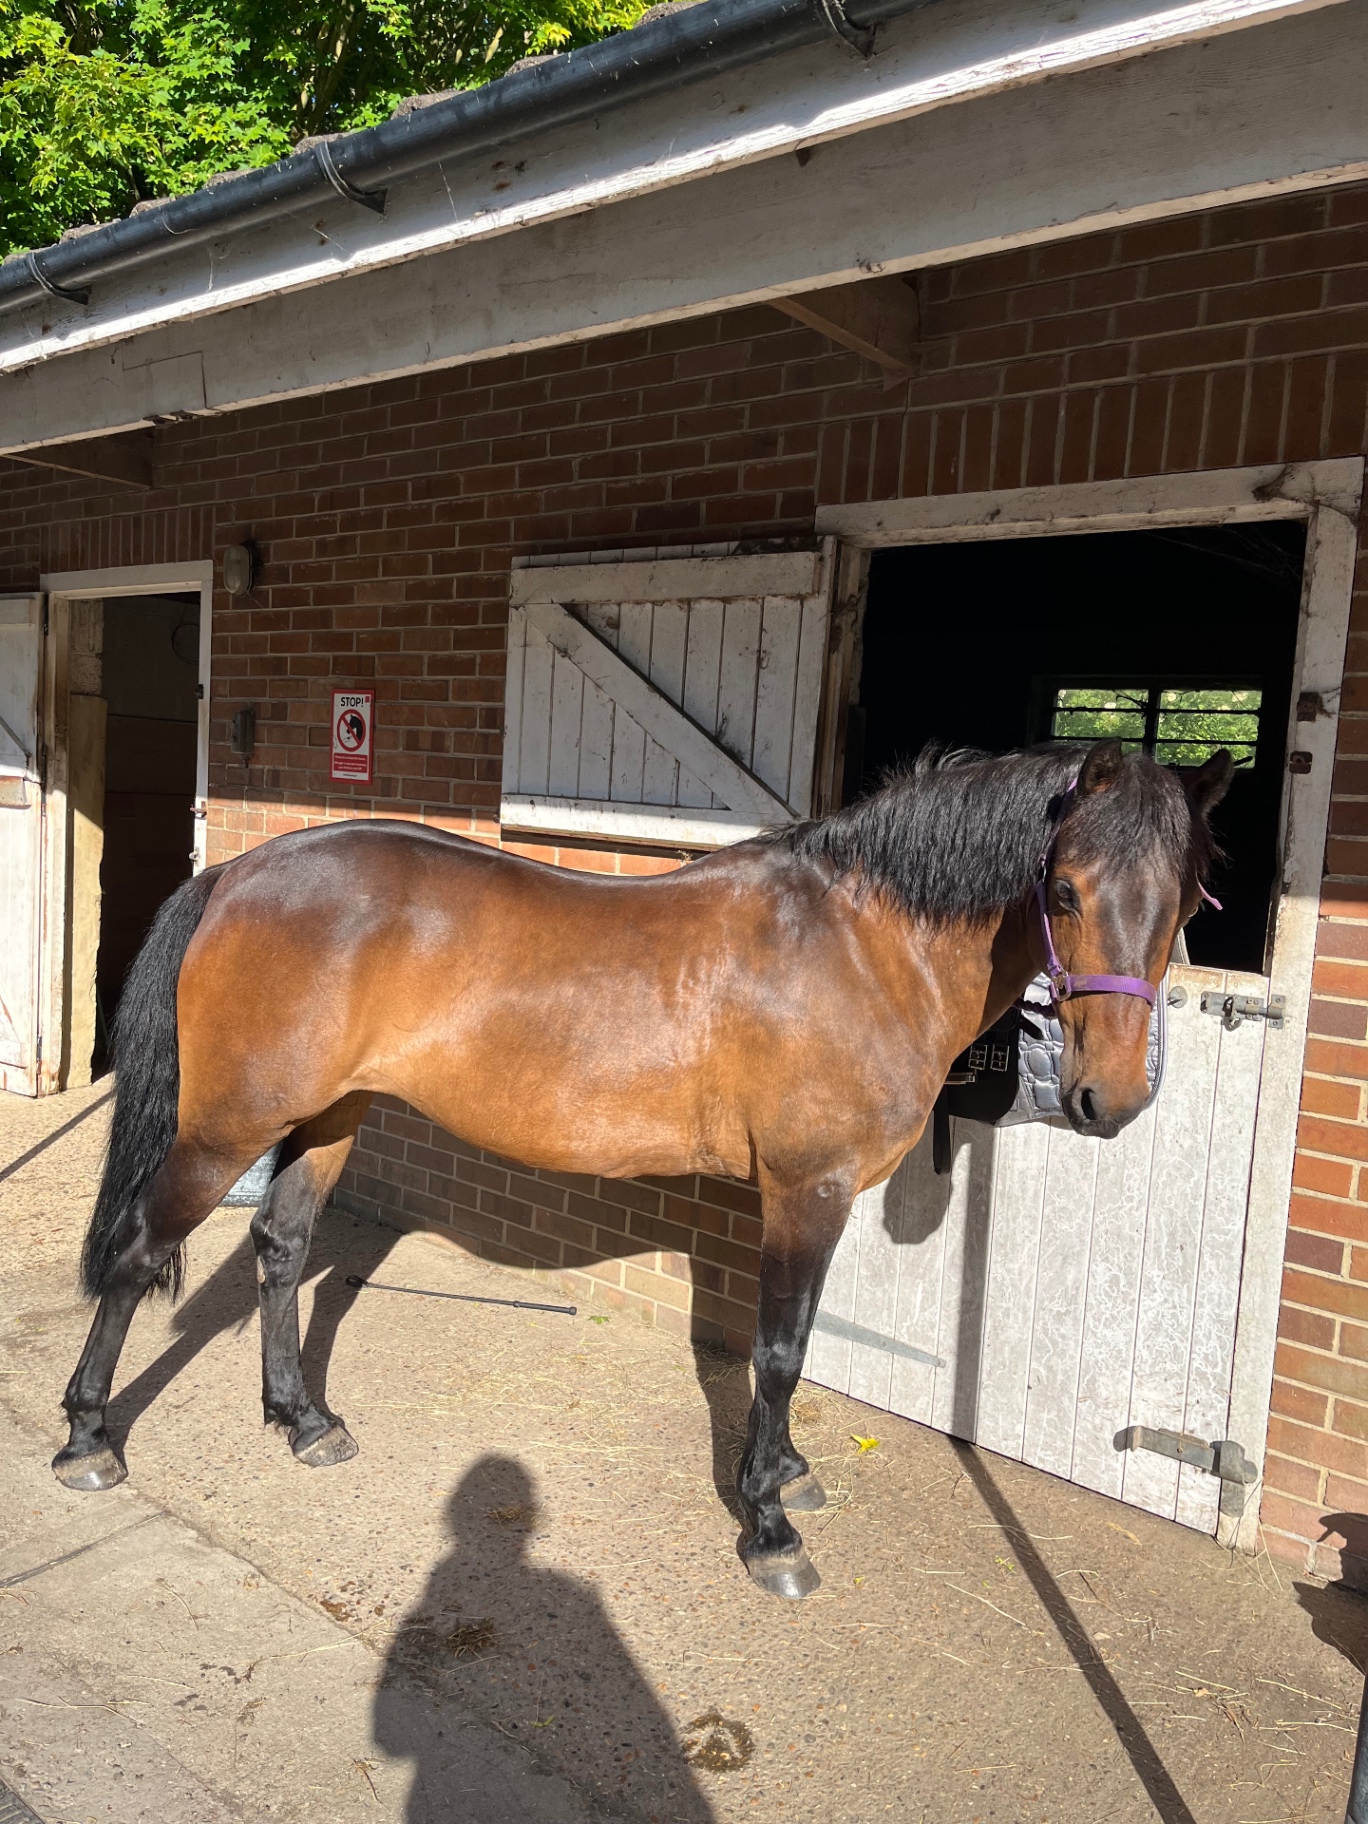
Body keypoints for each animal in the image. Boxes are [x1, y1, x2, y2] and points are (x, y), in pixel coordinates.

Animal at [52, 736, 1231, 1600]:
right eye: (1065, 890)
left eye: (1187, 902)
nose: (1109, 1099)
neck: (861, 943)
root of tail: (238, 872)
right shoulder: (803, 1193)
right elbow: (778, 1353)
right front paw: (767, 1525)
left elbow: (791, 1348)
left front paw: (786, 1475)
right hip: (225, 1128)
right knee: (140, 1252)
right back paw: (88, 1440)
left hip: (330, 1117)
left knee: (283, 1249)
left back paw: (304, 1422)